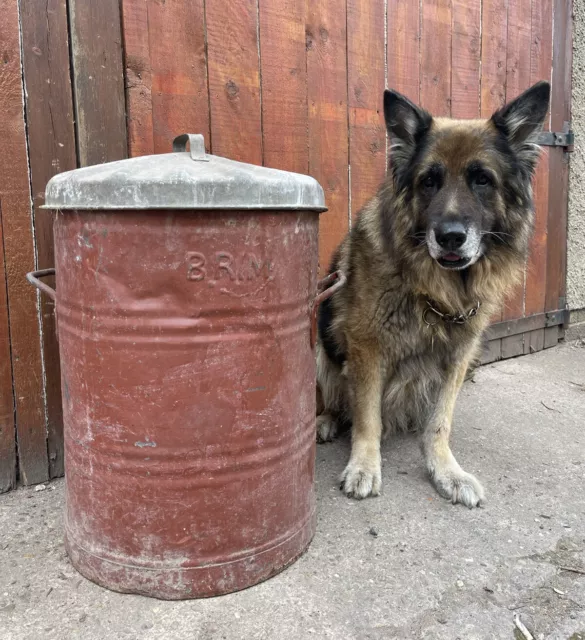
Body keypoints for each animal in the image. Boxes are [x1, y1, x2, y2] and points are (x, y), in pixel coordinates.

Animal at [318, 81, 548, 504]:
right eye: (429, 181)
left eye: (482, 179)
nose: (450, 237)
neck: (436, 288)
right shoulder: (366, 348)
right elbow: (367, 418)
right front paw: (364, 465)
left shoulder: (459, 354)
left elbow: (440, 422)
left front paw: (445, 470)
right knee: (334, 402)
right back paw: (326, 420)